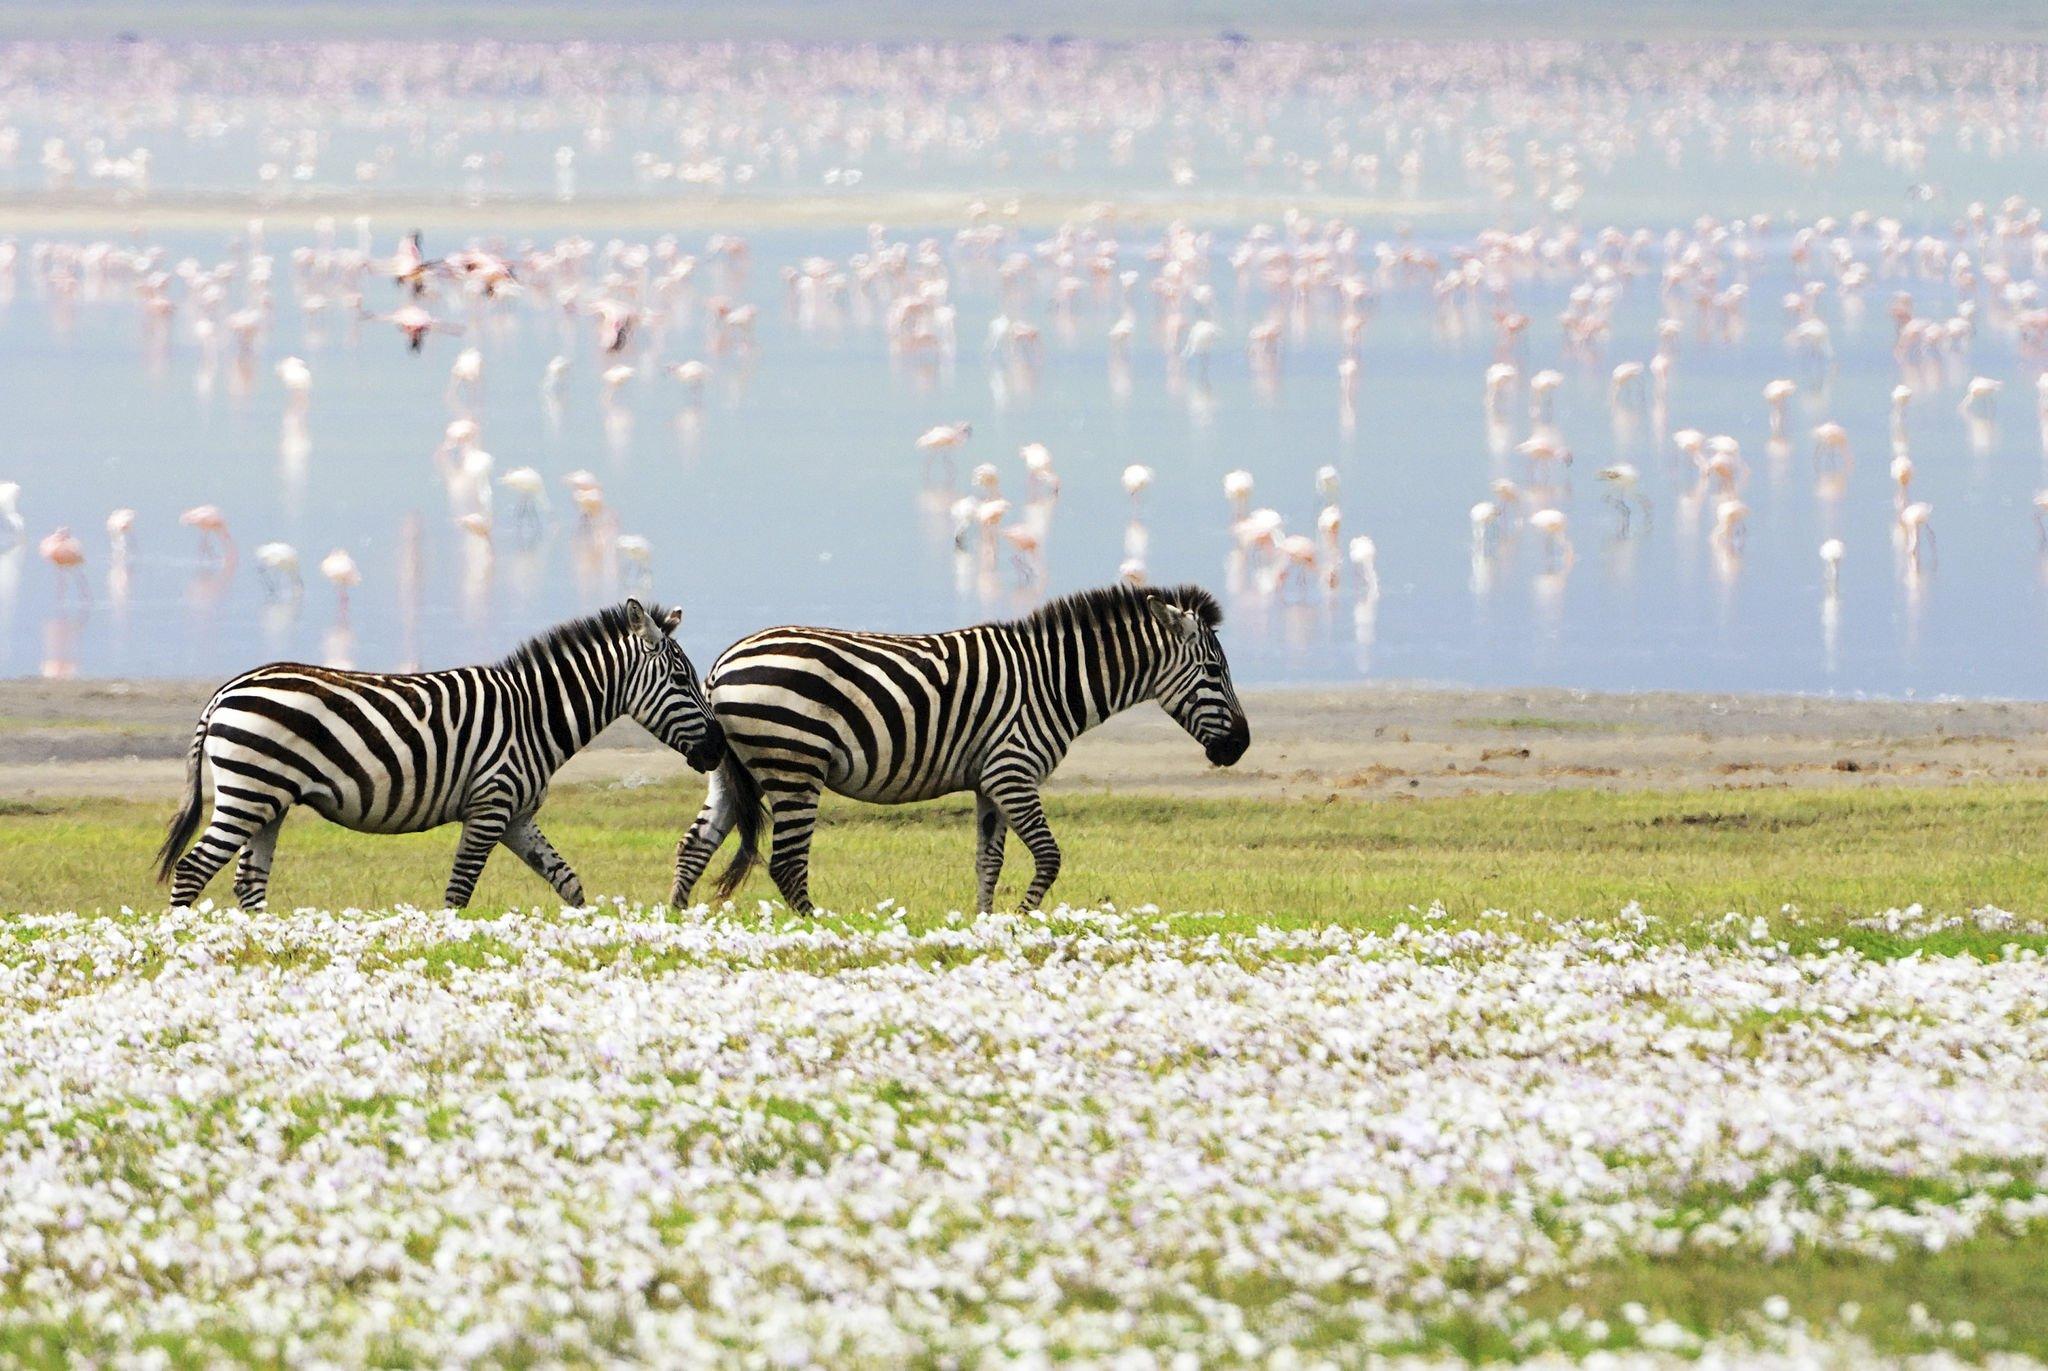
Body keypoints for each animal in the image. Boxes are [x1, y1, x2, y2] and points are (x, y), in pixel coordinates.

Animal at [157, 594, 720, 909]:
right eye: (681, 679)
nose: (717, 749)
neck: (535, 714)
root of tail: (225, 691)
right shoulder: (489, 807)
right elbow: (458, 892)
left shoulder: (516, 816)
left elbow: (568, 882)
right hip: (248, 794)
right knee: (192, 870)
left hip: (267, 803)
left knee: (248, 882)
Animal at [675, 577, 1245, 909]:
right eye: (1215, 672)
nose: (1239, 745)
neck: (1053, 681)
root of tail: (720, 666)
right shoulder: (1012, 771)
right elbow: (1048, 856)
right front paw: (1020, 923)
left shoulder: (989, 782)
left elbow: (988, 862)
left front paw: (985, 928)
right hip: (794, 765)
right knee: (788, 865)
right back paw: (822, 931)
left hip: (729, 766)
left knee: (694, 846)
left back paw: (678, 930)